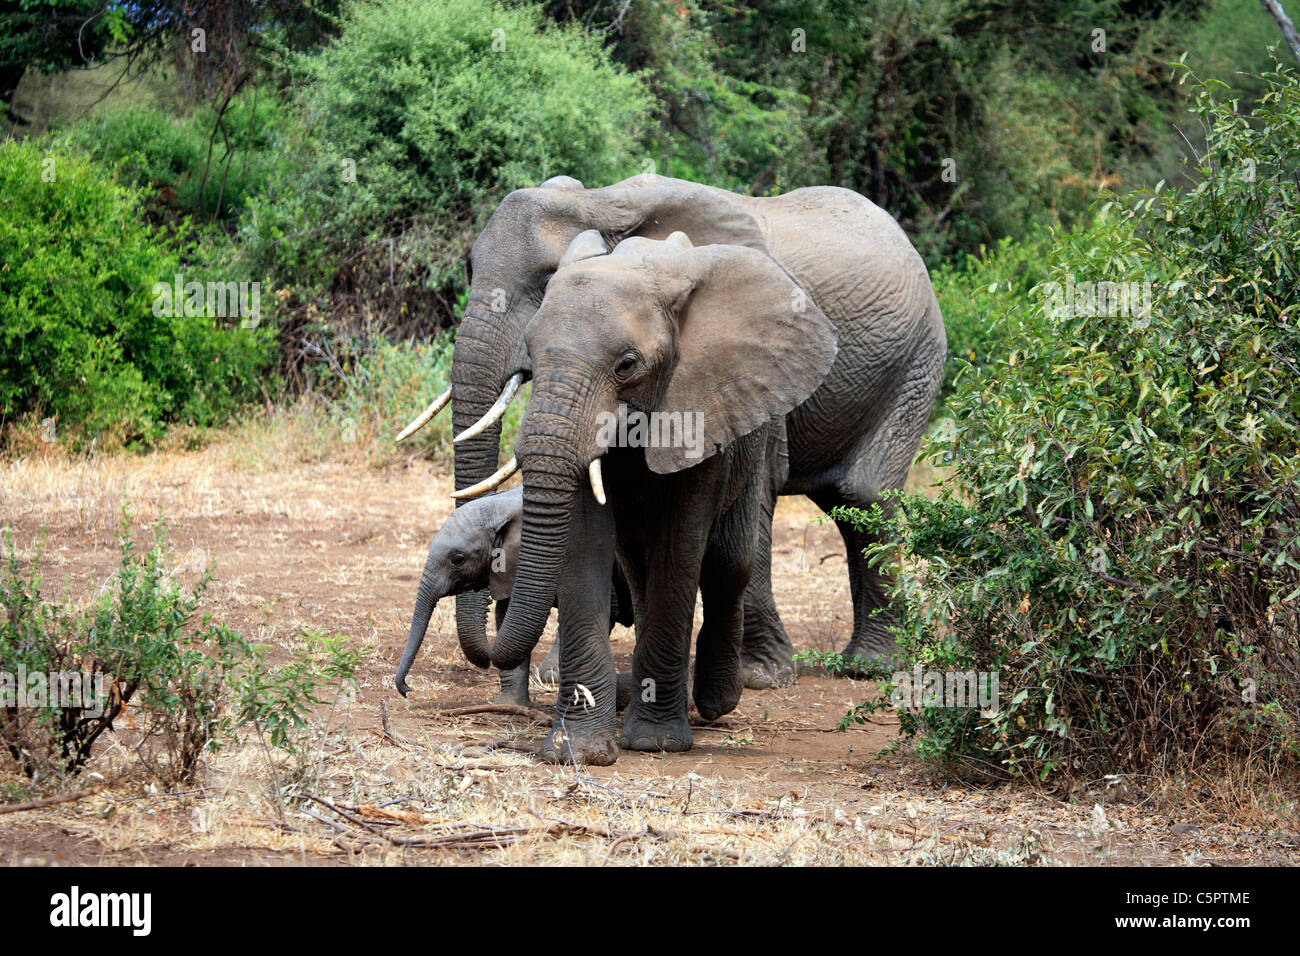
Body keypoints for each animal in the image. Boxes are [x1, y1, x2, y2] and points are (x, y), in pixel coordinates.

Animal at [454, 232, 838, 763]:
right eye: (529, 352)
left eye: (627, 364)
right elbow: (584, 543)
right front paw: (577, 752)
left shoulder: (701, 403)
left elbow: (680, 547)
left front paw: (655, 742)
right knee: (639, 567)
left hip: (755, 433)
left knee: (728, 563)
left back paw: (716, 702)